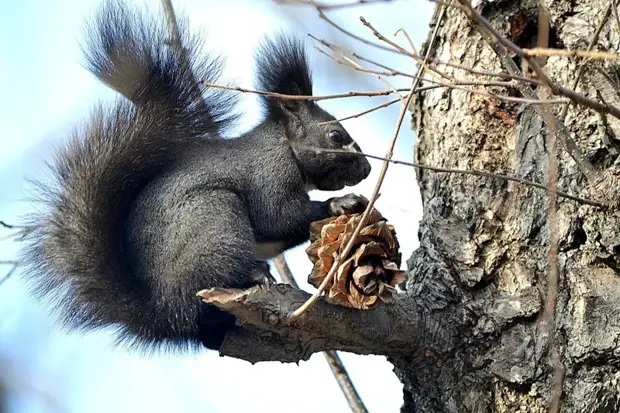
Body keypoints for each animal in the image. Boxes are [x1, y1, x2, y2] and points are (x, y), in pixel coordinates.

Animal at [17, 0, 370, 350]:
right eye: (336, 136)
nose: (367, 169)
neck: (282, 144)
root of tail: (165, 312)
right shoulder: (268, 173)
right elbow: (277, 217)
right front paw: (342, 203)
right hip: (216, 219)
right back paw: (254, 275)